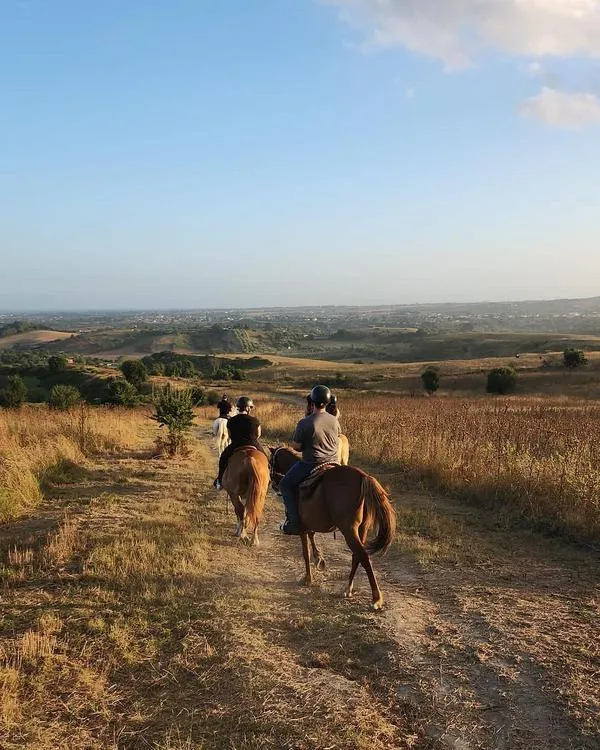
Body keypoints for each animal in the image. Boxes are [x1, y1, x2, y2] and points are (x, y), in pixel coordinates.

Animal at [270, 447, 396, 609]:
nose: (274, 485)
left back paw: (376, 598)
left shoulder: (301, 527)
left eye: (270, 463)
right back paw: (347, 589)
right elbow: (312, 537)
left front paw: (307, 578)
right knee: (356, 556)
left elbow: (305, 552)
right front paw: (319, 559)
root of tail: (363, 477)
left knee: (363, 556)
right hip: (362, 529)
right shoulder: (310, 524)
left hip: (349, 530)